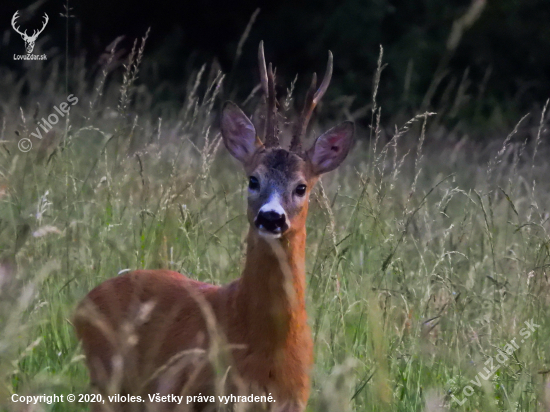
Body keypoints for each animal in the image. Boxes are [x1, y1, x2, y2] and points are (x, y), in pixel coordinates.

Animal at [73, 42, 356, 412]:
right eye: (253, 179)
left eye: (301, 187)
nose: (271, 217)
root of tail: (84, 303)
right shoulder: (194, 392)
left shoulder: (295, 399)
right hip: (107, 382)